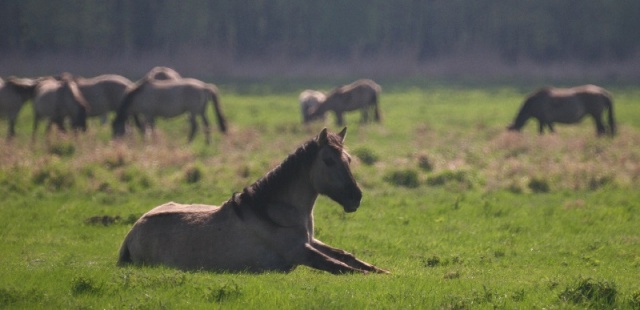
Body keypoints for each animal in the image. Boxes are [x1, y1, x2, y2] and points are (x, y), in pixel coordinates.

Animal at [119, 128, 390, 274]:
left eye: (349, 160)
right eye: (328, 161)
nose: (355, 197)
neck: (274, 212)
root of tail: (132, 232)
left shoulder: (310, 241)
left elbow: (347, 257)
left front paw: (386, 270)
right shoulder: (300, 251)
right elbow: (340, 267)